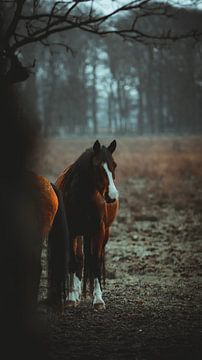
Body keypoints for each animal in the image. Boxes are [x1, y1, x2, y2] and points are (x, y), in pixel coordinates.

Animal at [55, 139, 118, 310]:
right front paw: (71, 298)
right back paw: (76, 294)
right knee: (80, 258)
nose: (112, 196)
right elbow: (73, 262)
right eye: (97, 166)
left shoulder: (98, 232)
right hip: (79, 235)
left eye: (114, 165)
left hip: (101, 234)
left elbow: (95, 263)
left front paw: (98, 300)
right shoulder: (71, 232)